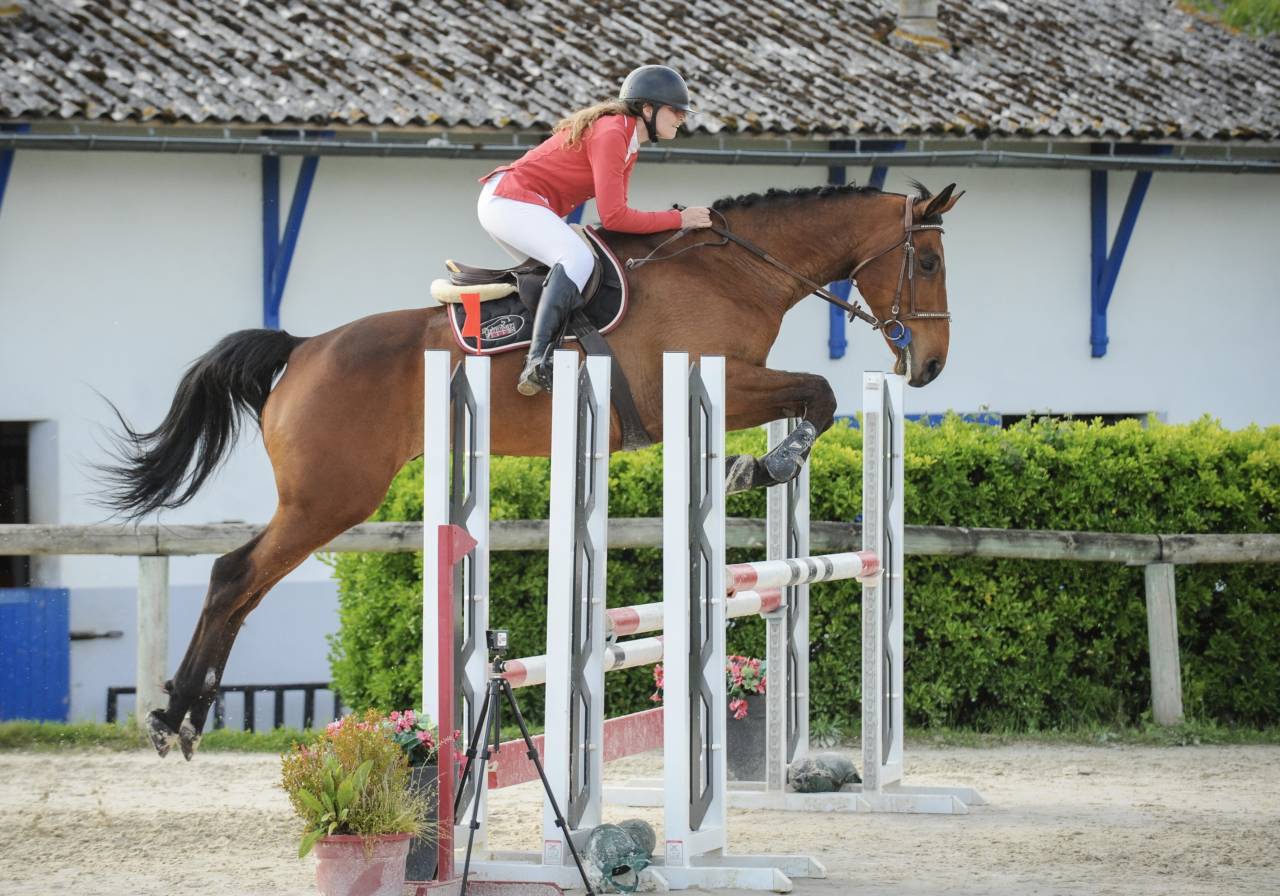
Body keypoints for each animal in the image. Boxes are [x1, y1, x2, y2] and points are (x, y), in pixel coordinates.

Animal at [100, 180, 963, 759]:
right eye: (925, 260)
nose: (928, 367)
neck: (736, 270)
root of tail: (304, 348)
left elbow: (815, 394)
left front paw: (763, 462)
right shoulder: (707, 382)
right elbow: (818, 391)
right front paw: (767, 463)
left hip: (327, 498)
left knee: (240, 583)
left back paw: (184, 716)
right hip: (330, 498)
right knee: (234, 576)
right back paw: (175, 716)